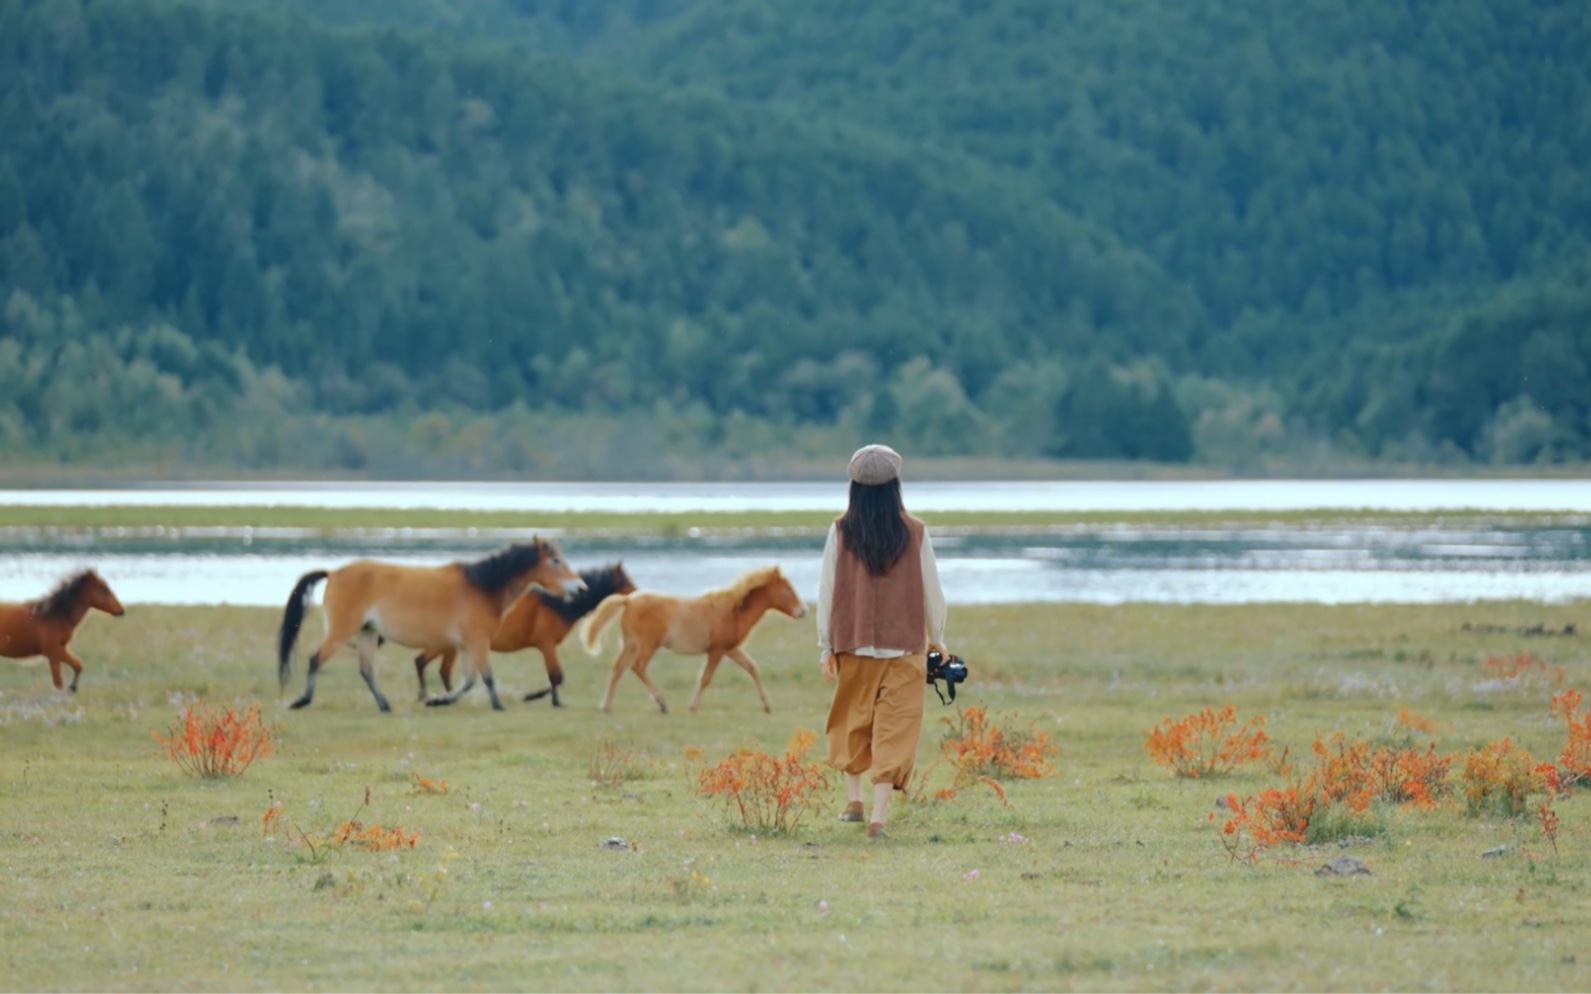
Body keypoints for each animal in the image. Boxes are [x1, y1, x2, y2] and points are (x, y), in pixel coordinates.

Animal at [276, 537, 582, 709]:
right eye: (555, 560)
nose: (580, 587)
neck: (482, 587)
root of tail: (333, 572)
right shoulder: (478, 642)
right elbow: (486, 677)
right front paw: (497, 706)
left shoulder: (468, 645)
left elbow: (469, 680)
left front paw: (439, 700)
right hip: (342, 631)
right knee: (316, 659)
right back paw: (302, 701)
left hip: (367, 633)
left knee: (366, 670)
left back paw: (384, 705)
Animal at [413, 559, 636, 706]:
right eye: (625, 582)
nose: (639, 594)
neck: (557, 602)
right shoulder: (547, 645)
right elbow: (556, 676)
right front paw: (547, 699)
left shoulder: (547, 646)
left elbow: (556, 678)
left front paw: (539, 697)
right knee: (423, 662)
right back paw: (431, 696)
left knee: (438, 669)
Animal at [582, 566, 808, 712]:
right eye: (787, 588)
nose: (803, 611)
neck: (733, 611)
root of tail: (628, 599)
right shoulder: (717, 650)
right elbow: (706, 677)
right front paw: (693, 706)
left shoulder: (730, 649)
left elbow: (751, 667)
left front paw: (767, 705)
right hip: (646, 645)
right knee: (637, 667)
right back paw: (662, 703)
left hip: (630, 645)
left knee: (617, 668)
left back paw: (606, 706)